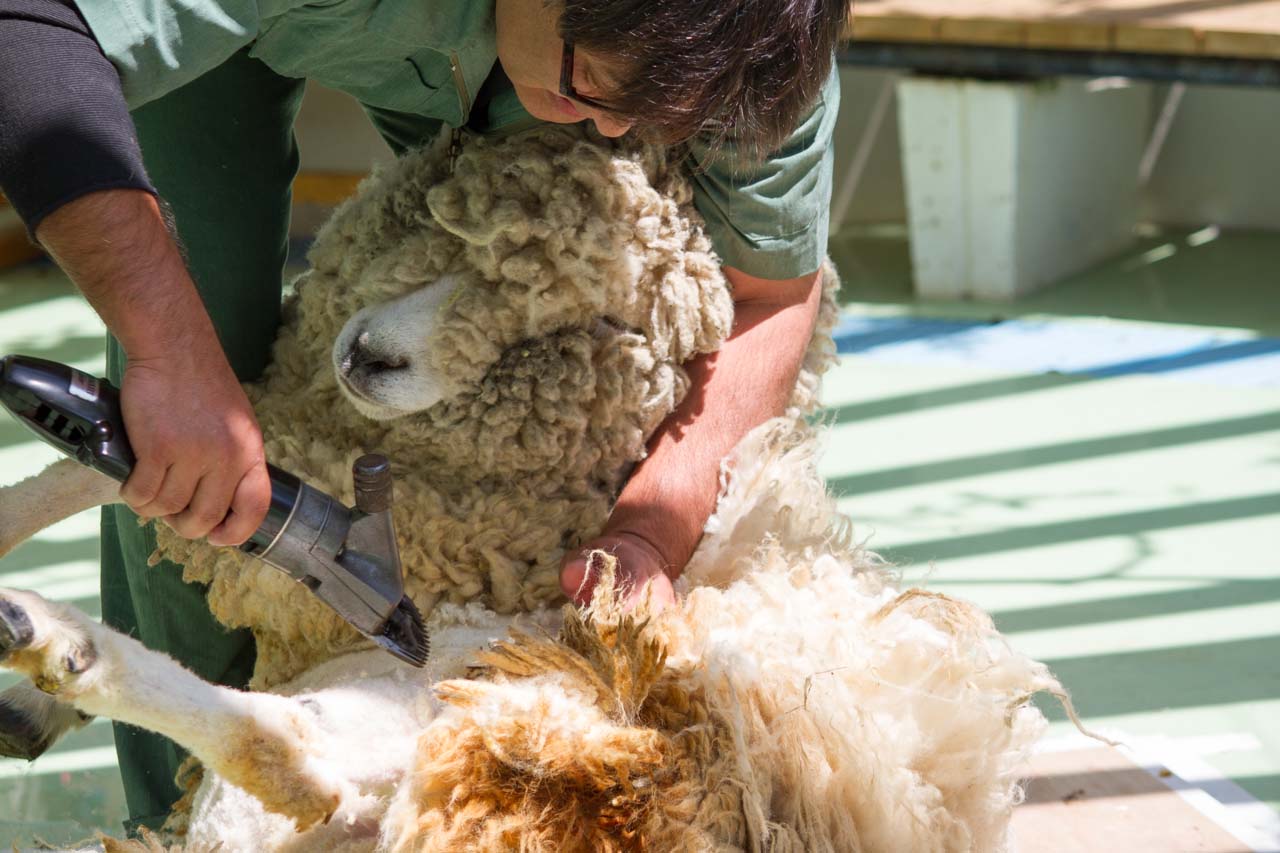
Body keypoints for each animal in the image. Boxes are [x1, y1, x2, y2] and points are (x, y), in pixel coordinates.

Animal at [0, 122, 1090, 845]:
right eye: (457, 234)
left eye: (576, 327)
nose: (370, 358)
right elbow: (115, 469)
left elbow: (113, 479)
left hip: (456, 685)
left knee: (294, 755)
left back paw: (53, 640)